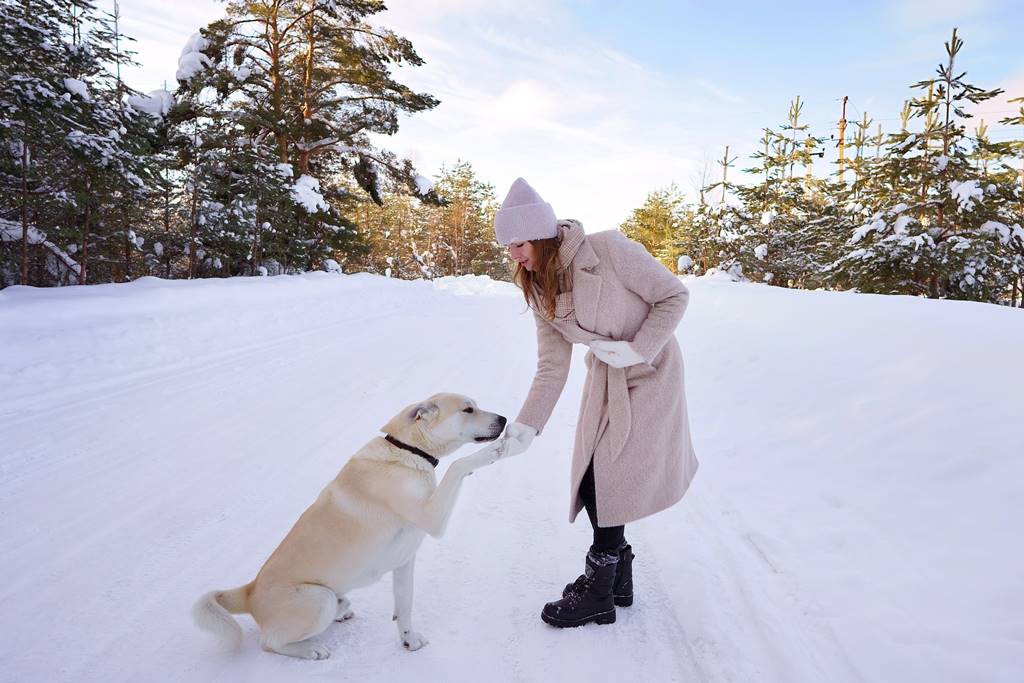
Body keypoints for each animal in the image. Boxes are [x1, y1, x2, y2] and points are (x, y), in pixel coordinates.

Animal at [192, 393, 512, 659]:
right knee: (269, 643)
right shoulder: (432, 518)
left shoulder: (405, 561)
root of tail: (250, 591)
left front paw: (409, 641)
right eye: (468, 409)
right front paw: (492, 452)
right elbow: (458, 466)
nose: (504, 419)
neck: (408, 451)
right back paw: (310, 650)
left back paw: (342, 610)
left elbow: (405, 603)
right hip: (318, 599)